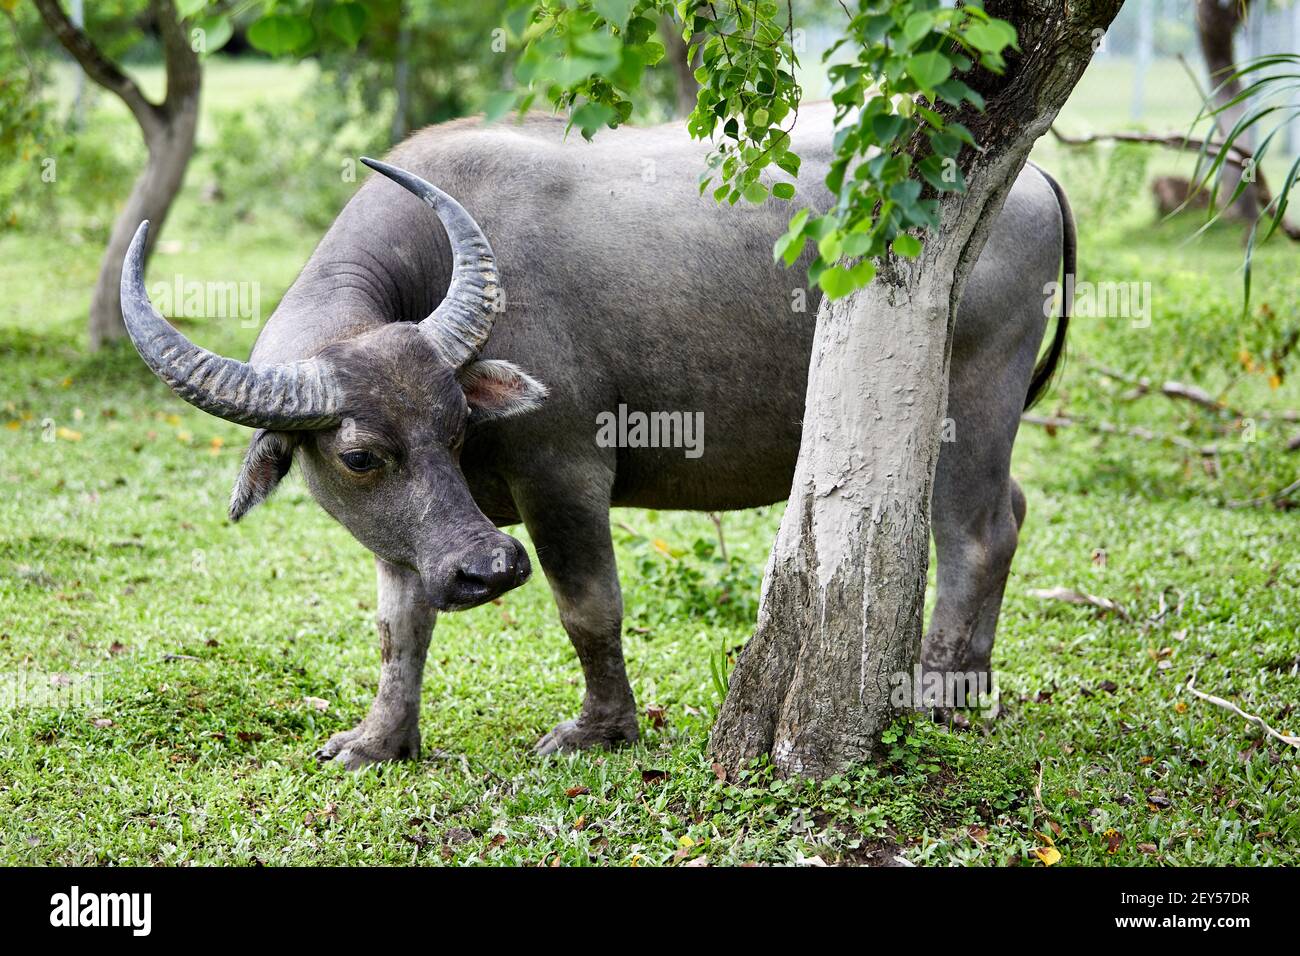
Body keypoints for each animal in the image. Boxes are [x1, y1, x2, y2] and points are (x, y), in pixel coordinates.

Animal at [124, 98, 1076, 770]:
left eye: (458, 423)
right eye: (359, 457)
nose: (487, 569)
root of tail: (1028, 180)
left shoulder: (565, 472)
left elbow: (587, 607)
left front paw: (600, 731)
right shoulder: (411, 534)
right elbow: (401, 627)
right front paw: (378, 742)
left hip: (969, 399)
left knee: (976, 532)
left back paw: (942, 694)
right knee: (1014, 511)